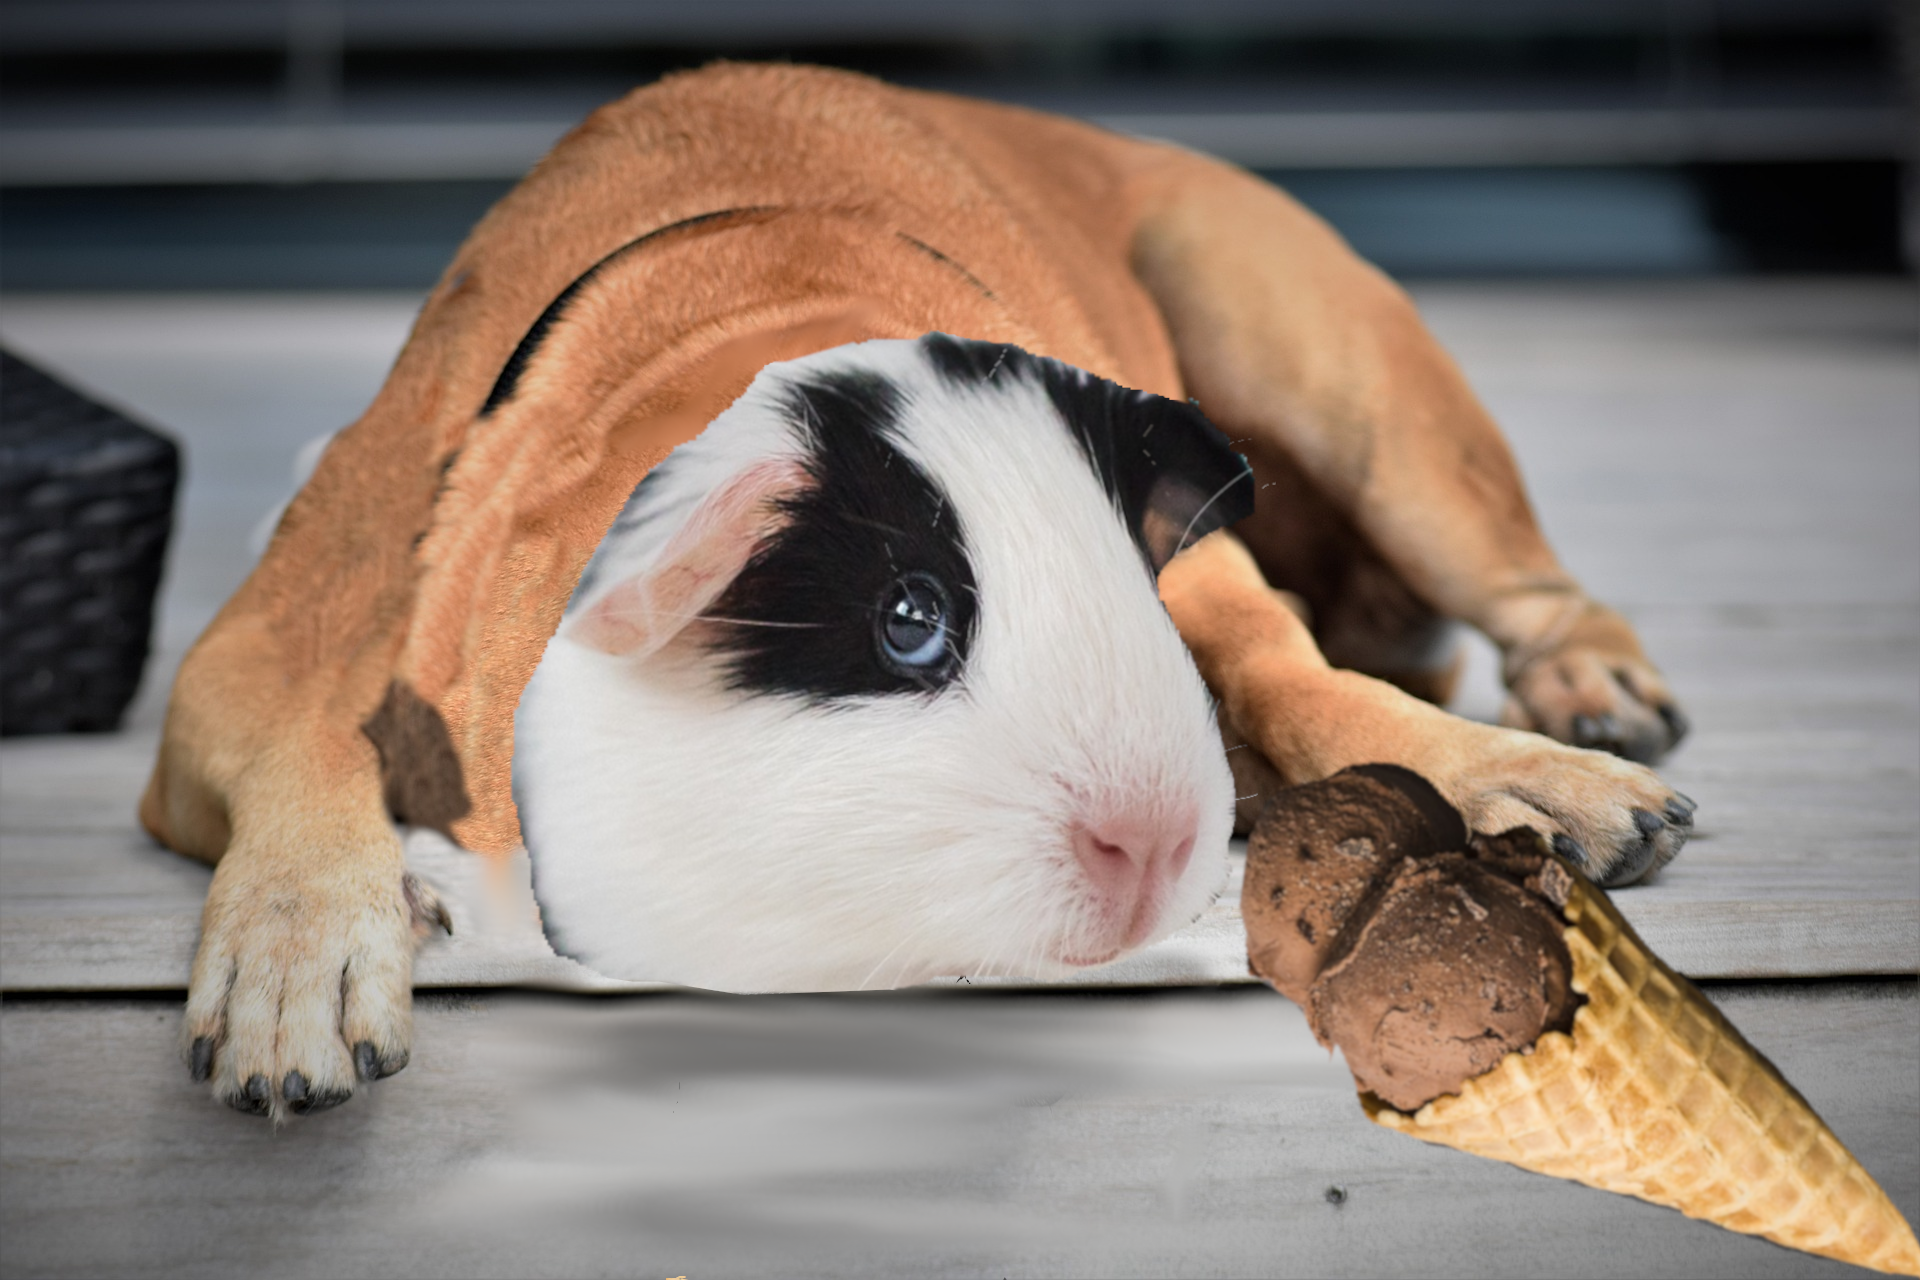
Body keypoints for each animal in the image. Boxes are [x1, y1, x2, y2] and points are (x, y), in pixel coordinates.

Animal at [142, 65, 1689, 1113]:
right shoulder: (261, 644)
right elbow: (307, 741)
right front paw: (300, 944)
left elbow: (1296, 676)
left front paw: (1496, 775)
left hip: (1341, 377)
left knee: (1509, 583)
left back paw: (1579, 687)